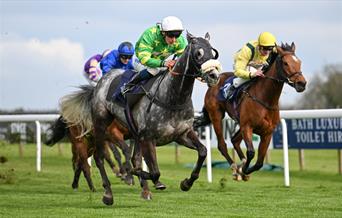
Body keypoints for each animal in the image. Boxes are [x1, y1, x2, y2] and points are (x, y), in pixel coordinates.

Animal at [60, 31, 222, 205]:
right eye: (198, 53)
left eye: (213, 53)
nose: (214, 75)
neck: (172, 98)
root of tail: (101, 83)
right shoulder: (148, 137)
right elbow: (154, 171)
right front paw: (133, 175)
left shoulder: (181, 134)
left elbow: (203, 151)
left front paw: (186, 183)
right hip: (100, 125)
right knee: (99, 157)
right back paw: (108, 193)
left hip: (133, 134)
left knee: (129, 158)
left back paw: (144, 191)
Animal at [195, 42, 308, 181]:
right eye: (285, 63)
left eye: (299, 62)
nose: (302, 83)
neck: (266, 99)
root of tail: (213, 81)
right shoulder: (247, 127)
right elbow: (251, 152)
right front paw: (243, 170)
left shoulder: (267, 132)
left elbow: (259, 162)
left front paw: (244, 170)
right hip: (216, 115)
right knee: (222, 145)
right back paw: (235, 168)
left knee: (234, 140)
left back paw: (241, 164)